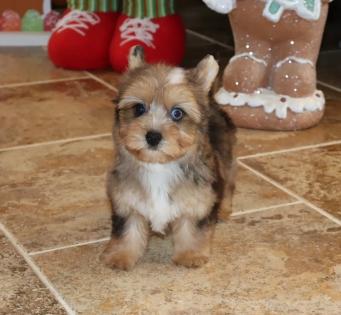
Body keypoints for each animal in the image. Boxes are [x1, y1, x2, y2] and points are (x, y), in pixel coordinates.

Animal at [101, 45, 234, 270]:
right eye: (139, 108)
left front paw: (190, 254)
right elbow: (127, 230)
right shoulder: (126, 201)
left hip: (225, 159)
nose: (153, 137)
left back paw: (223, 211)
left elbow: (192, 229)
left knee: (228, 184)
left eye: (177, 113)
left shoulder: (198, 200)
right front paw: (120, 255)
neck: (158, 165)